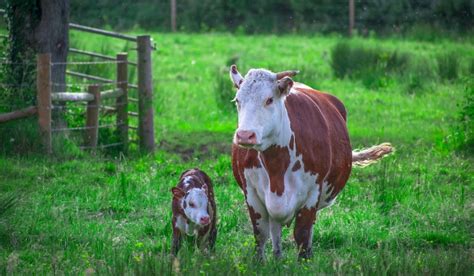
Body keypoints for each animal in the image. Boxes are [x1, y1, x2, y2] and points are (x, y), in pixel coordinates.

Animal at [230, 64, 392, 258]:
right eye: (238, 101)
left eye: (269, 100)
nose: (245, 135)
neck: (276, 165)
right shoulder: (251, 193)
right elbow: (260, 235)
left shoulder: (312, 194)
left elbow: (302, 235)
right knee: (275, 231)